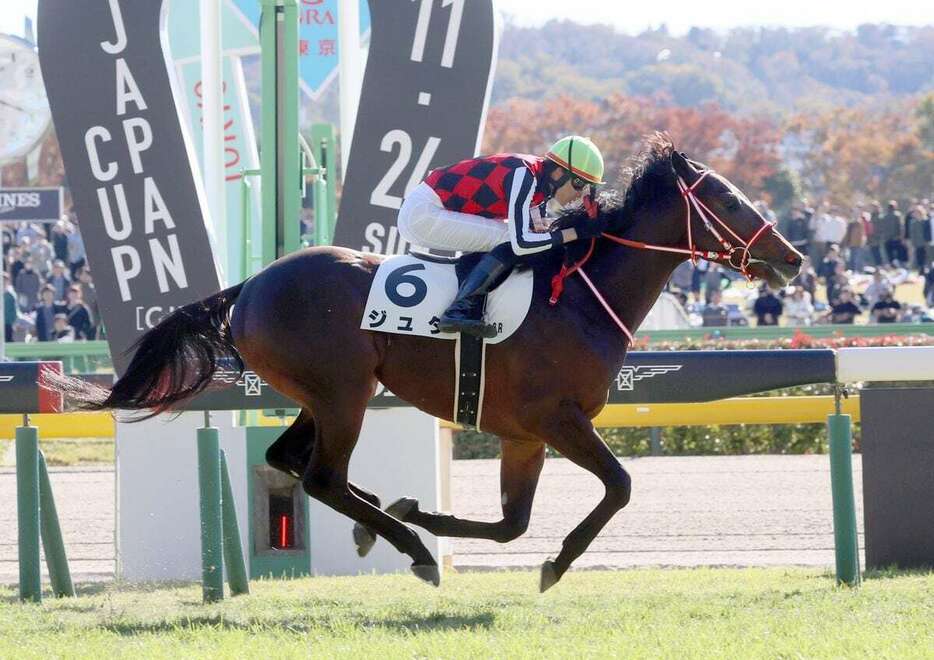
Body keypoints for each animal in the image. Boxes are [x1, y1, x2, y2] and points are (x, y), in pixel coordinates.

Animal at [54, 135, 804, 592]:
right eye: (729, 198)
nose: (792, 258)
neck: (580, 294)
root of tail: (250, 285)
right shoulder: (557, 420)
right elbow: (618, 487)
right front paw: (553, 565)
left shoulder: (525, 435)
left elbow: (511, 523)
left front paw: (426, 513)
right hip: (342, 394)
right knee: (321, 476)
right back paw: (409, 549)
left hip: (322, 395)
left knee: (291, 459)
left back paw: (380, 523)